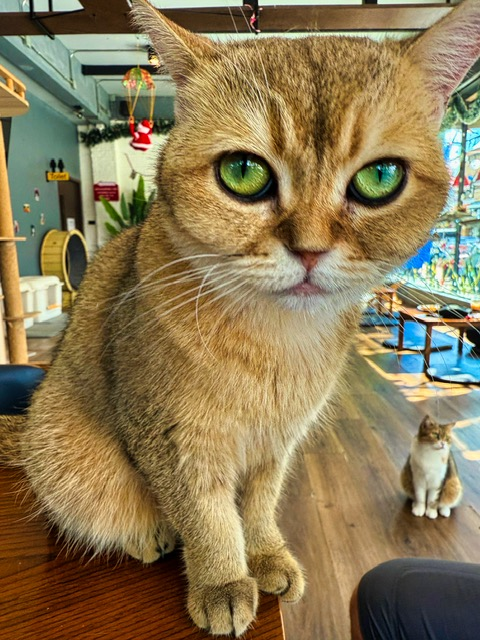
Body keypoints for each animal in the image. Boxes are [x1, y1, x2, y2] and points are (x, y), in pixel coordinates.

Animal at [1, 0, 480, 636]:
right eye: (243, 172)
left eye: (380, 179)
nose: (309, 250)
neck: (276, 342)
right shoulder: (173, 439)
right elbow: (207, 517)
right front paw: (223, 580)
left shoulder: (278, 441)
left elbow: (257, 504)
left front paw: (265, 554)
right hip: (63, 455)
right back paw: (149, 536)